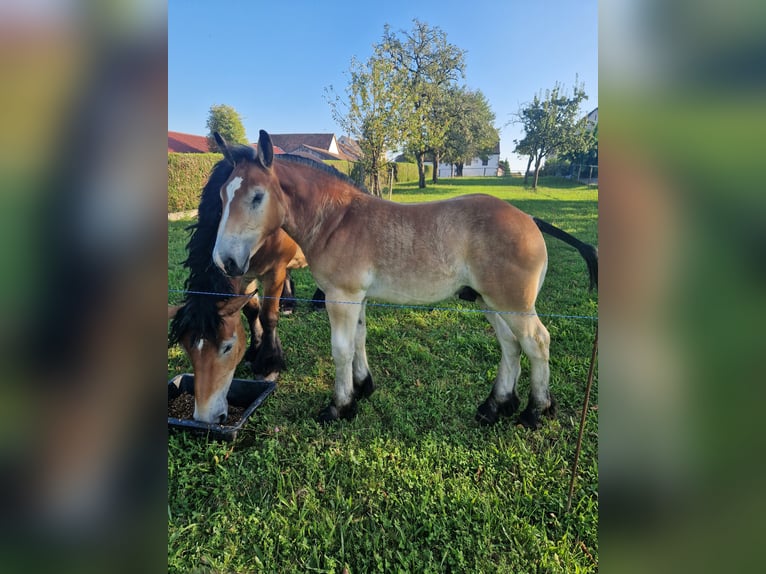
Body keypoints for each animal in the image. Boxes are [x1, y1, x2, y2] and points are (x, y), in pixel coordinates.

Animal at [170, 147, 308, 428]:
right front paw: (255, 351)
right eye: (187, 349)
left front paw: (269, 365)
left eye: (227, 346)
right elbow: (251, 311)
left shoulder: (273, 272)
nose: (205, 417)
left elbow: (268, 316)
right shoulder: (242, 274)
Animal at [212, 130, 600, 428]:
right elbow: (359, 340)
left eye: (257, 197)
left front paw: (339, 406)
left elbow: (341, 349)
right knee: (510, 345)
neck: (337, 220)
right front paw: (363, 387)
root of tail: (530, 219)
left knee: (537, 342)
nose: (224, 260)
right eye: (222, 195)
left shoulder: (341, 297)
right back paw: (495, 406)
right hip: (491, 303)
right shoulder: (357, 298)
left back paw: (536, 411)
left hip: (513, 304)